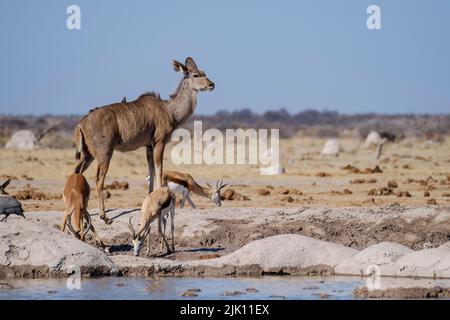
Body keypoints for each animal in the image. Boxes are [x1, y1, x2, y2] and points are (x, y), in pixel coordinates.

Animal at [74, 56, 214, 224]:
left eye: (205, 72)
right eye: (195, 75)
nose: (212, 84)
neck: (169, 110)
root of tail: (82, 123)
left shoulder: (148, 146)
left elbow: (151, 171)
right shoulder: (159, 142)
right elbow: (159, 170)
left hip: (88, 155)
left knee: (77, 172)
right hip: (104, 153)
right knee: (99, 179)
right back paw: (104, 216)